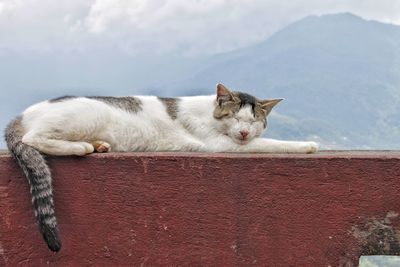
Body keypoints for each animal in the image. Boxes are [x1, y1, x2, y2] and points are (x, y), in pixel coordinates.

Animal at [4, 84, 318, 253]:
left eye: (253, 121)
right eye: (234, 117)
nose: (243, 132)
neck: (211, 114)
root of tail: (20, 115)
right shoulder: (220, 143)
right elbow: (271, 142)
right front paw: (307, 145)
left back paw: (100, 145)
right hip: (82, 117)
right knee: (34, 139)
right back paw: (81, 147)